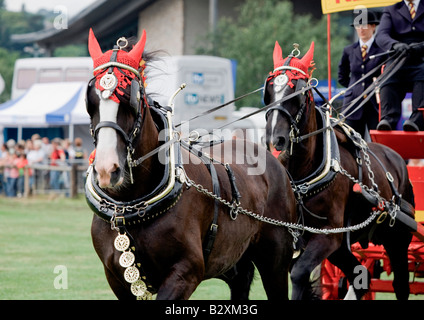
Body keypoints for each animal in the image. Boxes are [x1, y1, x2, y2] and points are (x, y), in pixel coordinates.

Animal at [83, 30, 294, 300]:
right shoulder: (117, 279)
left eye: (130, 99)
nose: (106, 169)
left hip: (274, 264)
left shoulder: (186, 271)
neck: (131, 206)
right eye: (91, 102)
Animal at [264, 41, 414, 298]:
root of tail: (397, 158)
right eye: (270, 90)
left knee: (401, 284)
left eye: (298, 92)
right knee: (359, 278)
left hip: (397, 239)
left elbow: (299, 274)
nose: (275, 139)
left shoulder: (328, 236)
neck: (304, 175)